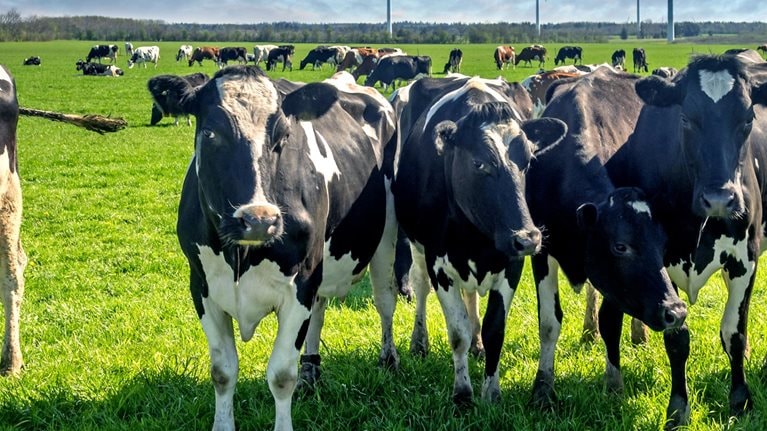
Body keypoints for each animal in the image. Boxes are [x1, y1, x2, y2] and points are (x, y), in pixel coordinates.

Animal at [176, 66, 397, 431]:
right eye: (210, 133)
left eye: (283, 136)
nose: (258, 220)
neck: (242, 256)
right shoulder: (202, 287)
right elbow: (222, 372)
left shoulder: (300, 285)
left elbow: (280, 376)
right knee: (320, 311)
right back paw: (311, 371)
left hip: (385, 239)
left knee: (385, 302)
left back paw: (389, 359)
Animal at [390, 75, 567, 406]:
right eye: (479, 163)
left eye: (528, 161)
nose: (528, 238)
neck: (475, 236)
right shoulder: (439, 263)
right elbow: (457, 330)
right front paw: (462, 394)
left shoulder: (511, 263)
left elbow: (494, 329)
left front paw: (491, 393)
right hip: (417, 247)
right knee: (421, 287)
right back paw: (419, 342)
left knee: (471, 297)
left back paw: (477, 344)